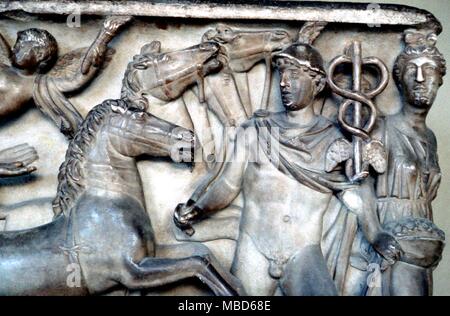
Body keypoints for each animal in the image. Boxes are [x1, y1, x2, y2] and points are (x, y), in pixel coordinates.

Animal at [0, 99, 243, 296]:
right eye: (140, 115)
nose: (188, 137)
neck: (106, 204)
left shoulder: (150, 257)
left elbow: (203, 253)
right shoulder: (130, 272)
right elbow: (197, 264)